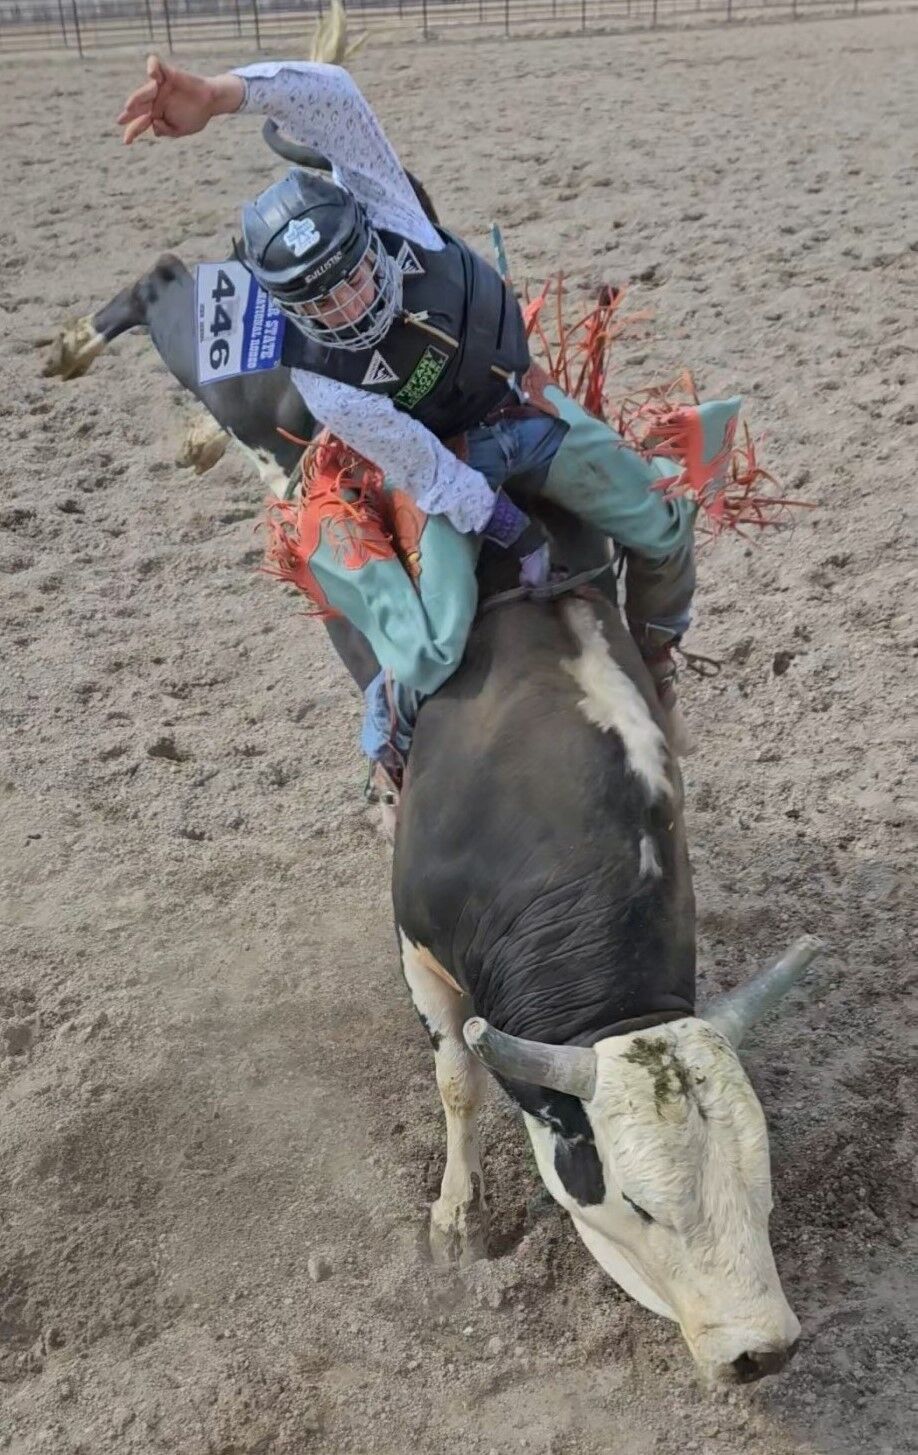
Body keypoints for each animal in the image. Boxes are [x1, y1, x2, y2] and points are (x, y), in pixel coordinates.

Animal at [392, 526, 820, 1385]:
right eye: (642, 1205)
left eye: (762, 1181)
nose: (763, 1349)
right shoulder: (418, 952)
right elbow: (457, 1081)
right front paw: (457, 1215)